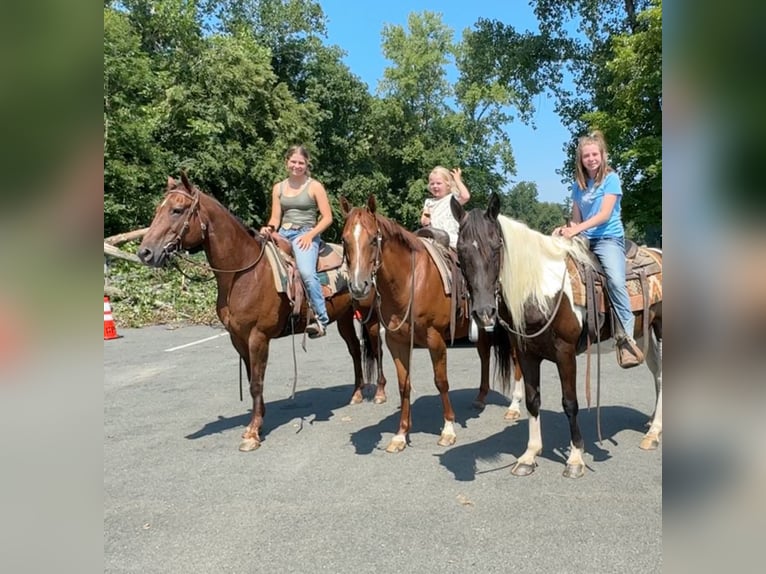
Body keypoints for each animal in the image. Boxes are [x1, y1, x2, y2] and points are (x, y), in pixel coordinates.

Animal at [137, 173, 388, 452]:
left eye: (177, 210)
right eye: (158, 209)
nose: (145, 252)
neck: (243, 273)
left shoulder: (258, 337)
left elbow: (257, 382)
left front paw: (252, 433)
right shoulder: (238, 338)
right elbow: (251, 380)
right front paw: (260, 419)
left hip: (370, 315)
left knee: (376, 347)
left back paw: (379, 393)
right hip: (344, 318)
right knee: (354, 350)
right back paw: (356, 393)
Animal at [340, 197, 512, 454]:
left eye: (372, 239)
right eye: (344, 240)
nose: (359, 286)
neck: (410, 281)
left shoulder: (435, 339)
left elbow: (441, 382)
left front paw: (448, 430)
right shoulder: (396, 342)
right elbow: (404, 385)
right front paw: (401, 435)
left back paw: (514, 409)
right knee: (484, 355)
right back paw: (481, 398)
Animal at [452, 196, 664, 480]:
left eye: (496, 246)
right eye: (460, 249)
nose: (484, 312)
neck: (541, 290)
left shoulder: (565, 353)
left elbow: (570, 402)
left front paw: (575, 459)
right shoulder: (526, 353)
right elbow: (532, 400)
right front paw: (529, 455)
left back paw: (653, 434)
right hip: (644, 335)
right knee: (658, 375)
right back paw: (653, 424)